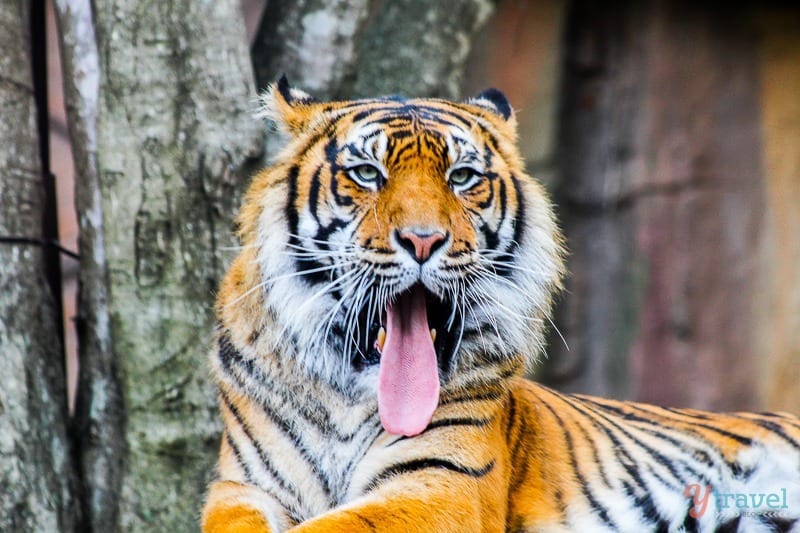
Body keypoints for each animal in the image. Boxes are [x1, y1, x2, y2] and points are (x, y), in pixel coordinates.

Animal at [202, 76, 800, 532]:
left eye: (462, 177)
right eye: (367, 174)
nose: (423, 240)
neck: (344, 394)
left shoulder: (440, 486)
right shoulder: (241, 487)